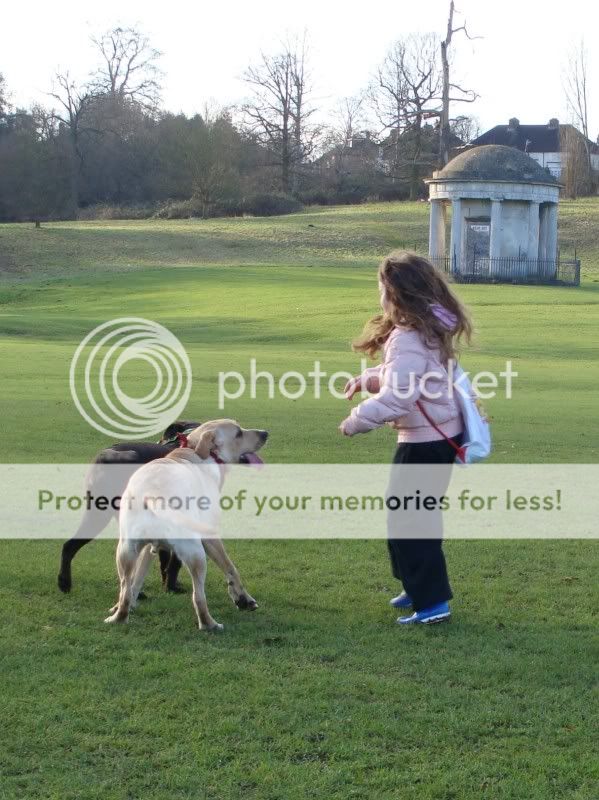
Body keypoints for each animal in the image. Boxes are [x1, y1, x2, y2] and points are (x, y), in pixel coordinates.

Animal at [57, 422, 200, 592]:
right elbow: (175, 562)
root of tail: (105, 457)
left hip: (98, 514)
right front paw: (171, 587)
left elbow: (165, 559)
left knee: (71, 547)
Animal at [105, 418, 270, 632]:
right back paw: (210, 625)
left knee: (125, 588)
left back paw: (118, 616)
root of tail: (153, 495)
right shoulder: (210, 537)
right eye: (238, 433)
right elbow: (230, 567)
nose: (265, 433)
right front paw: (244, 599)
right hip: (196, 554)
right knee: (198, 597)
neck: (198, 452)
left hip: (125, 551)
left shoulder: (147, 549)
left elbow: (137, 579)